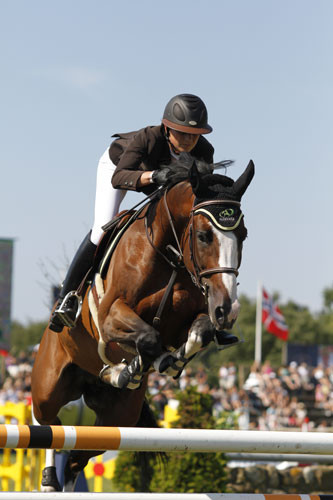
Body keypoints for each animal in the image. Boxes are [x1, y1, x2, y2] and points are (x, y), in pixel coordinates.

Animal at [31, 157, 254, 492]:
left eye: (243, 235)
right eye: (203, 235)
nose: (228, 310)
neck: (169, 256)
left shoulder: (196, 315)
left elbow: (199, 332)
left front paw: (162, 363)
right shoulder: (110, 316)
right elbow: (147, 338)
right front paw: (138, 366)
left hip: (117, 418)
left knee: (75, 457)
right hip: (49, 386)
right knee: (49, 426)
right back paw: (47, 480)